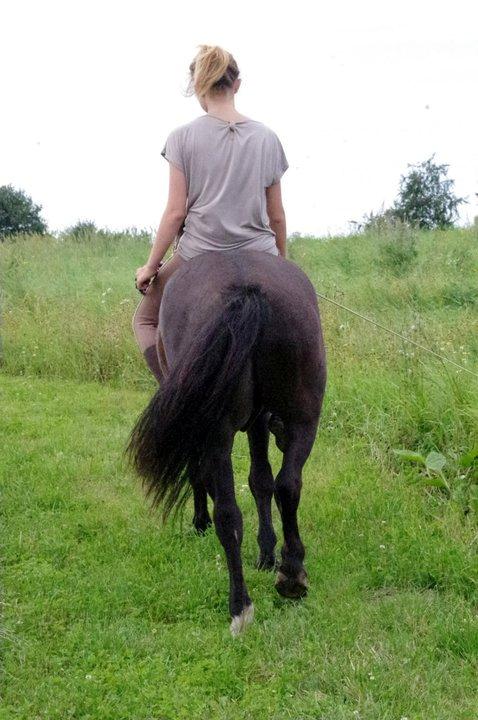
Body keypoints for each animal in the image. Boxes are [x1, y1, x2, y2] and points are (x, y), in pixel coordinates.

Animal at [127, 250, 326, 632]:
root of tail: (245, 287)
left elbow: (202, 475)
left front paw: (200, 522)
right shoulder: (259, 421)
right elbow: (262, 482)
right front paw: (267, 554)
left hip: (217, 431)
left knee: (227, 512)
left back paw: (240, 605)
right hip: (303, 419)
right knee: (285, 486)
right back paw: (291, 574)